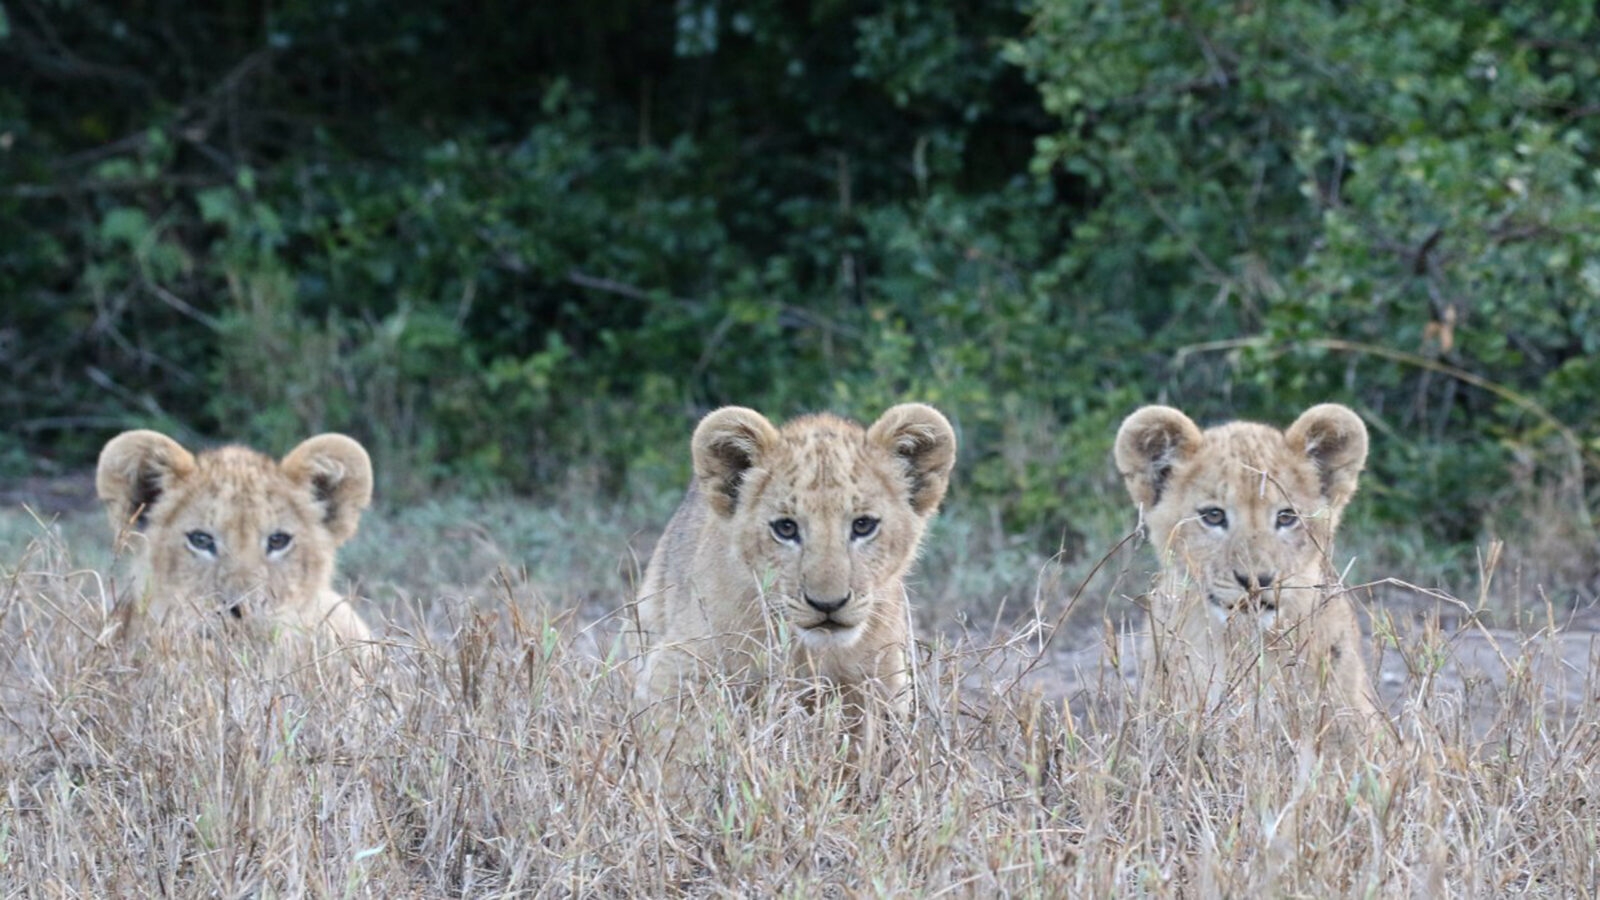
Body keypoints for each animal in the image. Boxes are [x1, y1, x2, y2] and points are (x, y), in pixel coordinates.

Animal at [632, 403, 957, 733]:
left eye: (863, 525)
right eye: (786, 528)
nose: (828, 604)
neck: (812, 653)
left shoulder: (885, 687)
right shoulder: (673, 670)